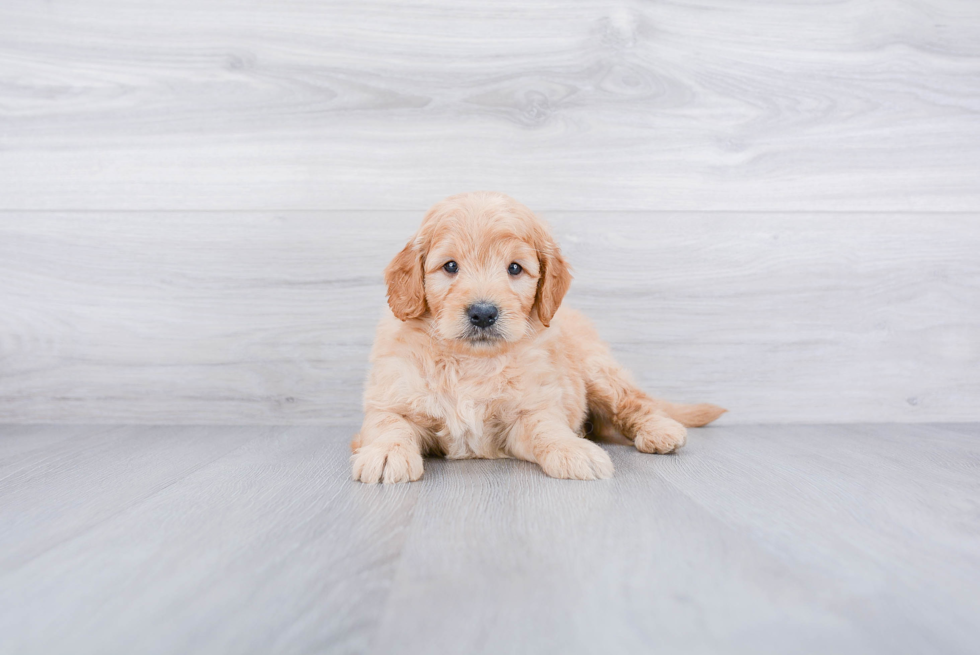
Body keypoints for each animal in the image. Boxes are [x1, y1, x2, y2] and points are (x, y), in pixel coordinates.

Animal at [354, 192, 728, 484]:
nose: (483, 313)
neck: (472, 362)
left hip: (598, 370)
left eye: (515, 268)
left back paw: (659, 430)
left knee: (635, 401)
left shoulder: (529, 410)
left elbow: (546, 428)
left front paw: (572, 448)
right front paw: (385, 453)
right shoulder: (392, 397)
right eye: (449, 266)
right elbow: (389, 424)